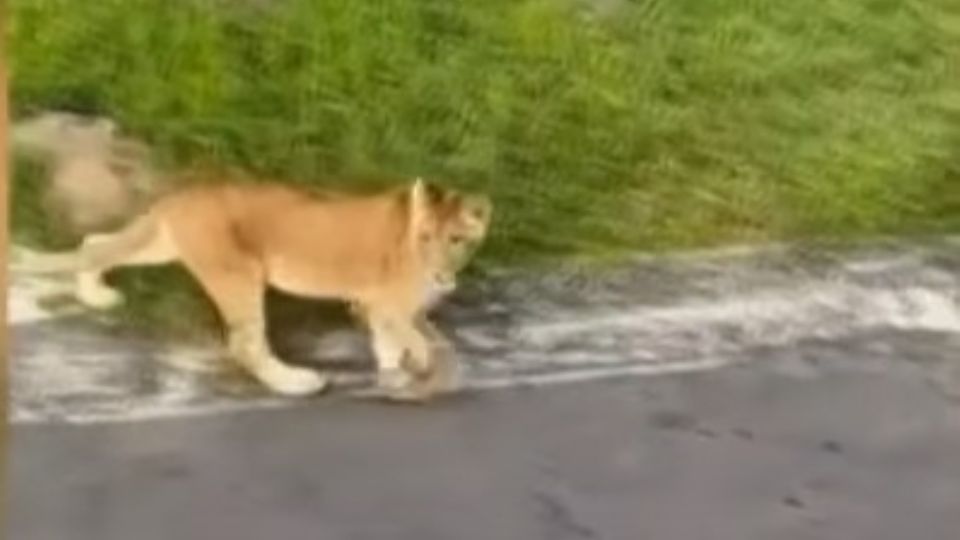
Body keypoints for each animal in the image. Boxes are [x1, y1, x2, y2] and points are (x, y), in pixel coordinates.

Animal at [18, 177, 492, 396]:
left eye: (455, 240)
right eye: (425, 238)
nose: (440, 274)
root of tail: (179, 197)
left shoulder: (382, 311)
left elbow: (398, 346)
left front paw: (397, 377)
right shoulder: (383, 306)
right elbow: (426, 343)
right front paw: (426, 374)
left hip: (162, 245)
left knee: (95, 243)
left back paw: (95, 293)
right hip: (237, 273)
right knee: (246, 345)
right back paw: (296, 383)